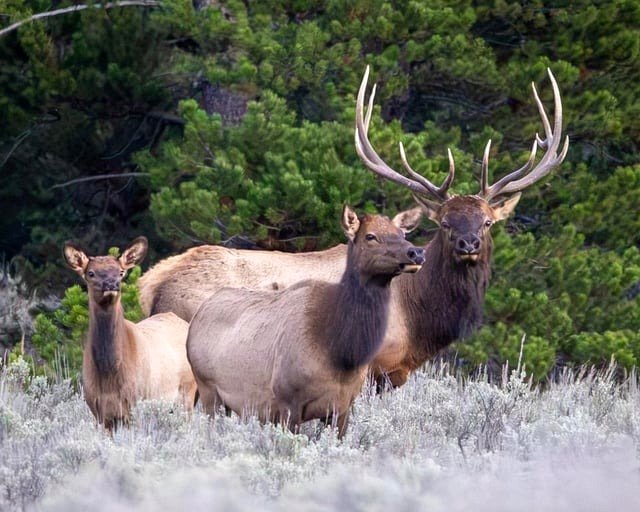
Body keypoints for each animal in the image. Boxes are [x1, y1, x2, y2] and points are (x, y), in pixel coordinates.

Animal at [63, 237, 198, 430]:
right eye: (91, 273)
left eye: (121, 272)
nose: (111, 284)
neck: (110, 373)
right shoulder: (98, 412)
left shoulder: (135, 404)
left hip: (187, 390)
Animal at [141, 66, 568, 389]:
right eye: (445, 222)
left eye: (487, 221)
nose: (468, 243)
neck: (419, 319)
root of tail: (153, 281)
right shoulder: (375, 366)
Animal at [186, 206, 425, 436]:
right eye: (371, 236)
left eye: (402, 233)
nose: (416, 252)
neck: (342, 354)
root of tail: (197, 318)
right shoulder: (287, 400)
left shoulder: (344, 407)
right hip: (207, 388)